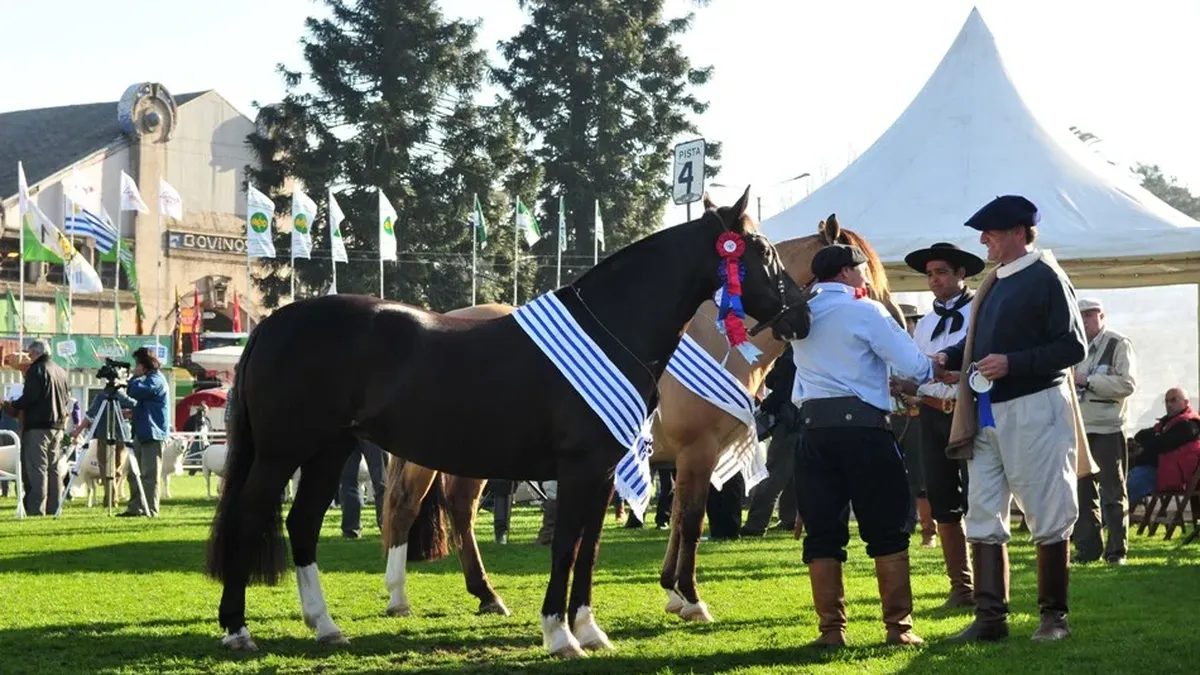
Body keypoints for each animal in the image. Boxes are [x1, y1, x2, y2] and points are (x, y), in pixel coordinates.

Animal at [206, 186, 811, 653]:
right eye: (759, 250)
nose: (802, 316)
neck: (612, 329)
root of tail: (274, 322)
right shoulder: (586, 468)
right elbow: (569, 545)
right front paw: (559, 634)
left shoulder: (606, 472)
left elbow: (589, 549)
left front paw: (589, 631)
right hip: (284, 453)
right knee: (252, 517)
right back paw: (238, 630)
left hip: (329, 450)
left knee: (304, 524)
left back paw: (326, 626)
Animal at [374, 211, 902, 619]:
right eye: (865, 281)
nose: (897, 323)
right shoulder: (697, 452)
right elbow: (690, 520)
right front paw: (690, 598)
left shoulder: (684, 458)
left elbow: (681, 517)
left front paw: (672, 591)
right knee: (411, 506)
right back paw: (408, 596)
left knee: (449, 508)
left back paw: (477, 595)